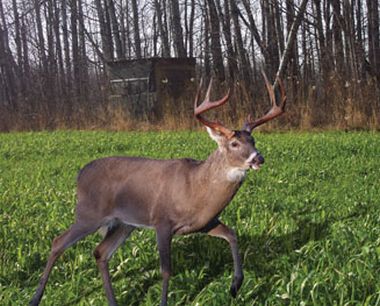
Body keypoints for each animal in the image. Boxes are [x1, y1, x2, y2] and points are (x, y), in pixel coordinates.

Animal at [30, 73, 284, 306]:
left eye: (254, 141)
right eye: (234, 143)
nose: (258, 158)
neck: (195, 189)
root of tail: (80, 174)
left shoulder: (204, 222)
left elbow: (232, 234)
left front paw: (235, 285)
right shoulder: (162, 222)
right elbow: (166, 270)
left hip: (124, 224)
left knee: (100, 252)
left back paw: (112, 301)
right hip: (89, 214)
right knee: (58, 242)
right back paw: (35, 298)